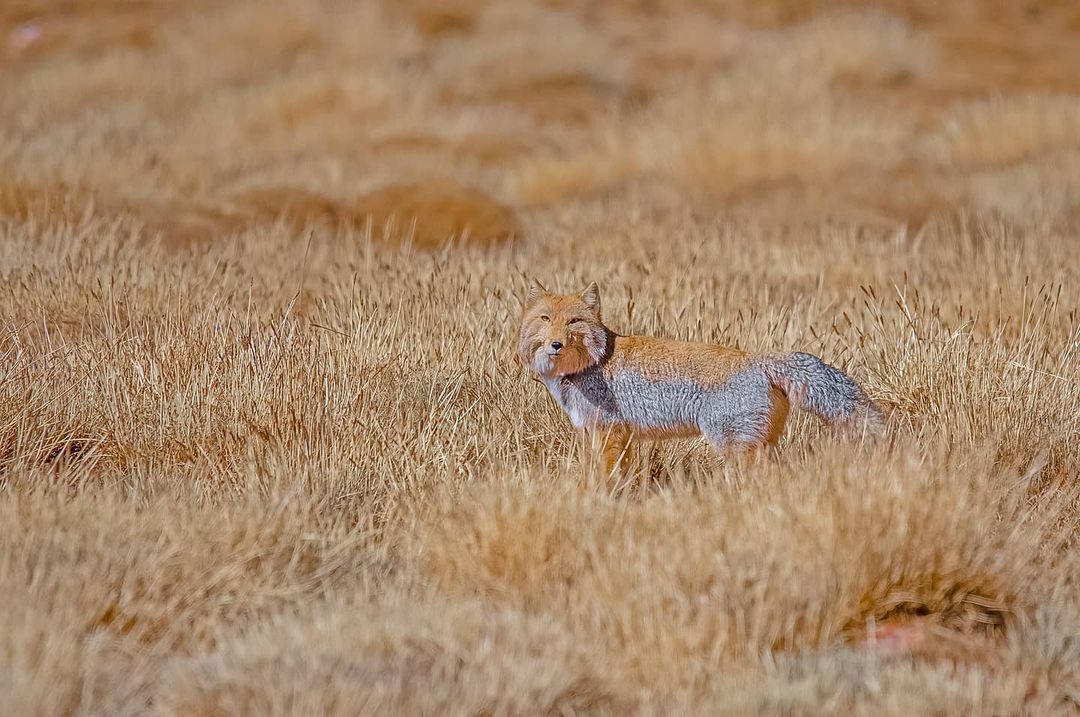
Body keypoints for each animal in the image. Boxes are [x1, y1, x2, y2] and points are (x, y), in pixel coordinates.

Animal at [518, 280, 881, 475]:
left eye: (574, 322)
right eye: (546, 319)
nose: (556, 344)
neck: (588, 365)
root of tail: (758, 359)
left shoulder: (610, 433)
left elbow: (606, 479)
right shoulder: (615, 437)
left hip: (733, 446)